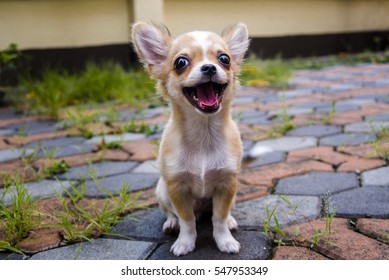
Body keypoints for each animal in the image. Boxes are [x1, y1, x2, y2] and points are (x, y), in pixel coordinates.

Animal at [132, 21, 249, 256]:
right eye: (180, 62)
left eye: (224, 59)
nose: (209, 68)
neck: (203, 133)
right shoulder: (176, 188)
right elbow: (186, 220)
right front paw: (185, 243)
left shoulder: (227, 184)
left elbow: (219, 217)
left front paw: (225, 241)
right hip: (162, 190)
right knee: (172, 213)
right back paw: (171, 223)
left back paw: (231, 220)